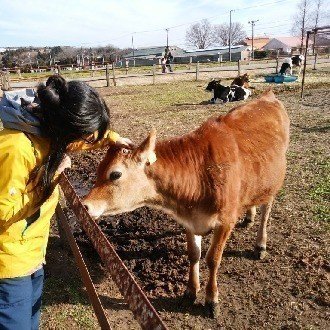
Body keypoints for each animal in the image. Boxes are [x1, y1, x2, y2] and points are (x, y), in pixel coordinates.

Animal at [82, 89, 288, 318]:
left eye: (115, 174)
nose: (85, 205)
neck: (200, 174)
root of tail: (268, 96)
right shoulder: (189, 219)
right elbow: (194, 254)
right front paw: (191, 290)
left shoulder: (225, 220)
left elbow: (213, 258)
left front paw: (211, 299)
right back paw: (249, 216)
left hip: (274, 182)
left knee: (266, 209)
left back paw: (260, 243)